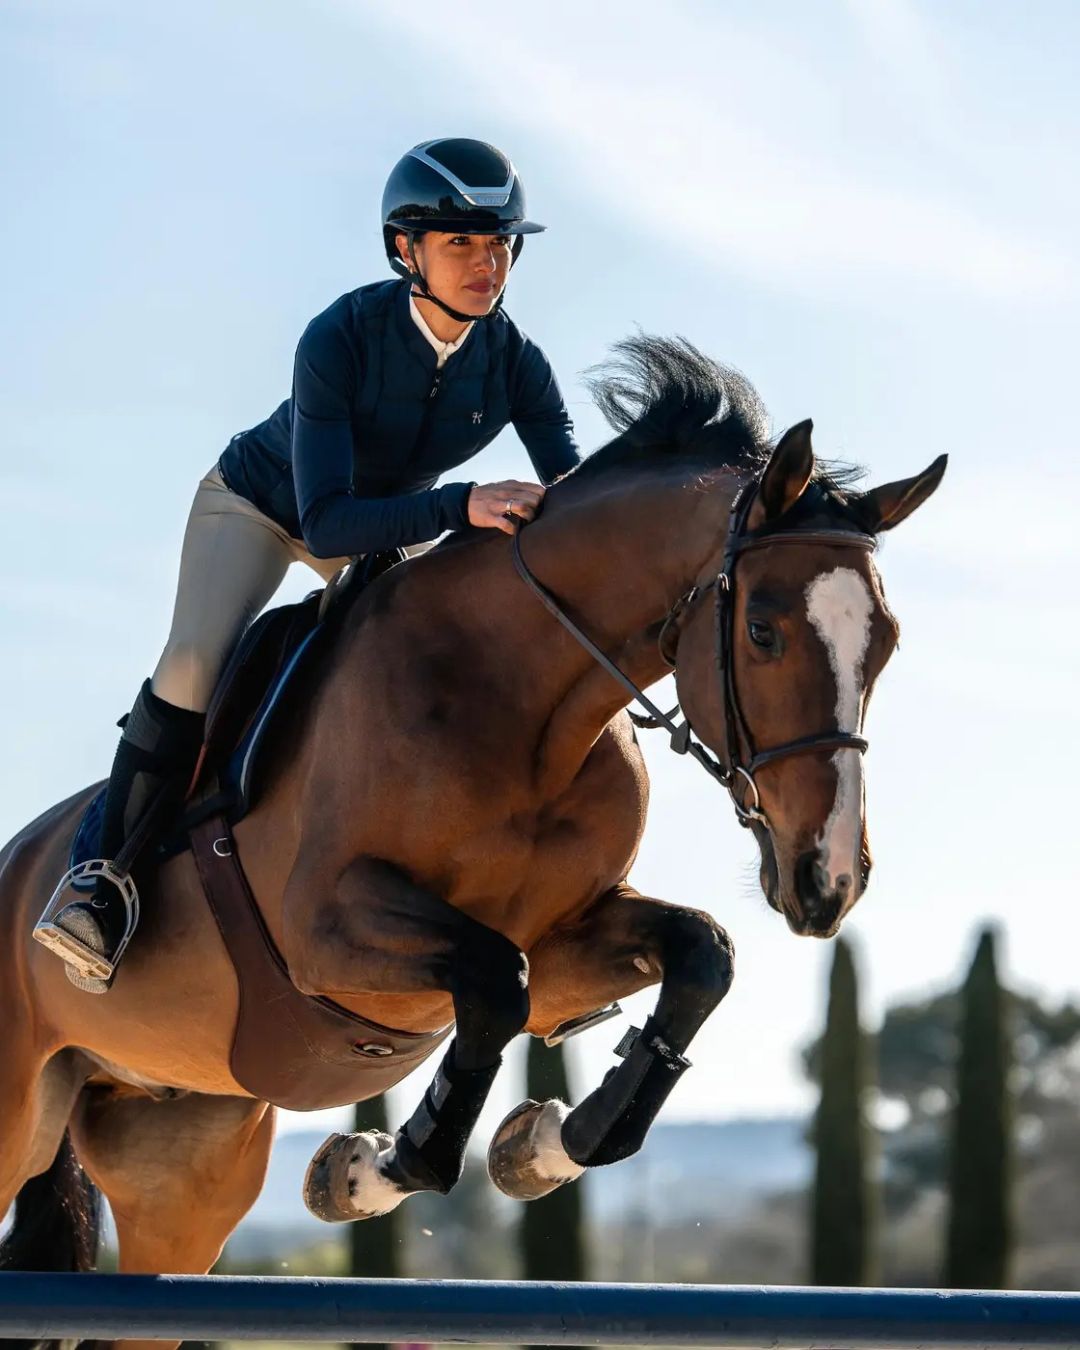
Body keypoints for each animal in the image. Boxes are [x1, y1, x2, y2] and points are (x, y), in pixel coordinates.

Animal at [0, 336, 944, 1349]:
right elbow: (495, 980)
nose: (828, 880)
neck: (522, 701)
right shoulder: (323, 928)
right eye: (763, 630)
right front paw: (373, 1164)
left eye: (887, 643)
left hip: (181, 1172)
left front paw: (549, 1142)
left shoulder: (566, 939)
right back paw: (87, 916)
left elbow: (698, 956)